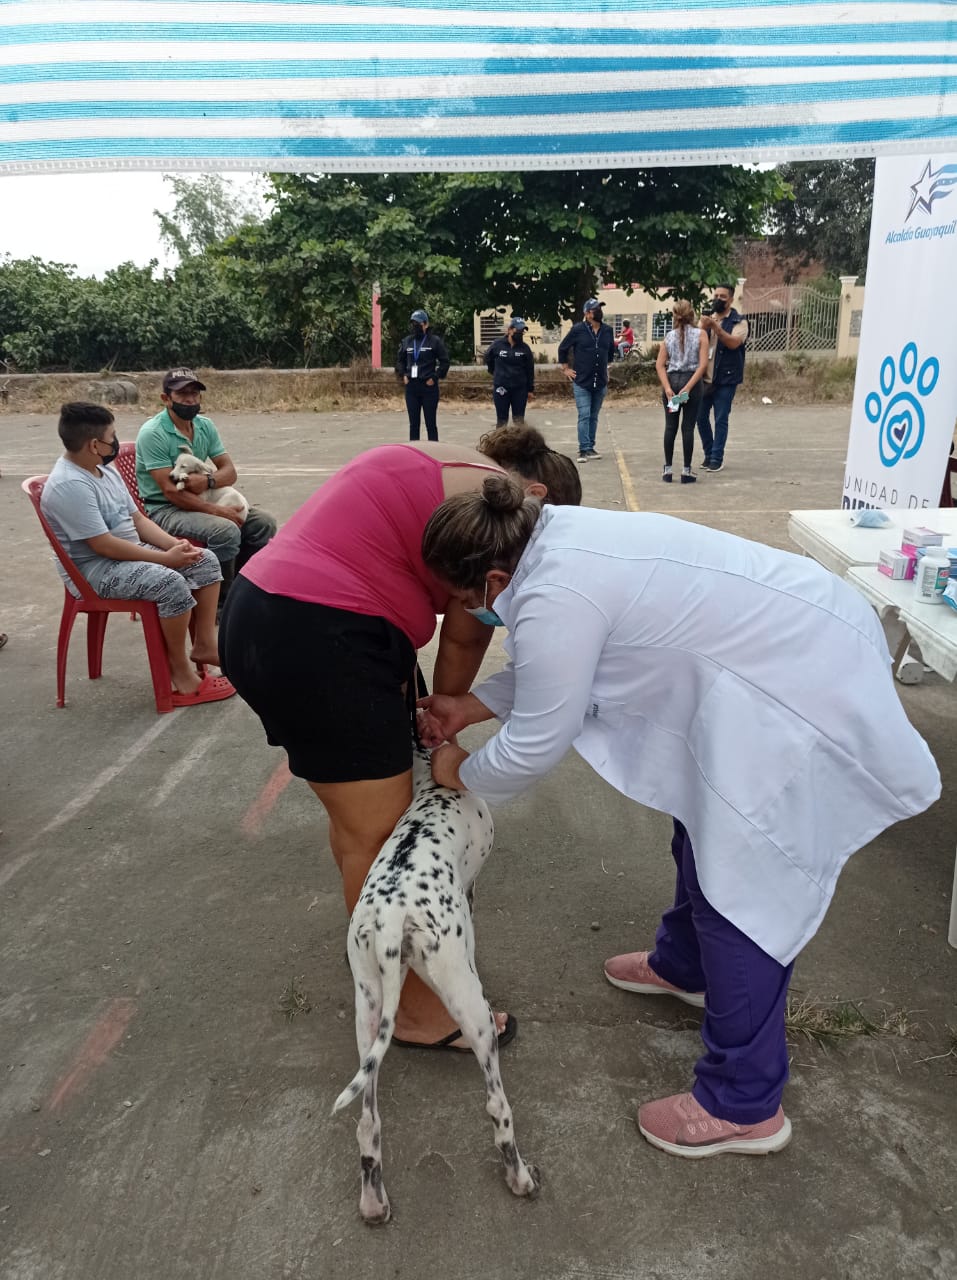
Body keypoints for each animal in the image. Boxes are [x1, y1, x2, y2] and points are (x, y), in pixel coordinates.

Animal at [333, 744, 540, 1224]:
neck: (431, 779)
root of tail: (392, 915)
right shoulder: (471, 888)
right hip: (470, 1006)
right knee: (498, 1108)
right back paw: (519, 1176)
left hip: (368, 1009)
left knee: (368, 1123)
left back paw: (374, 1202)